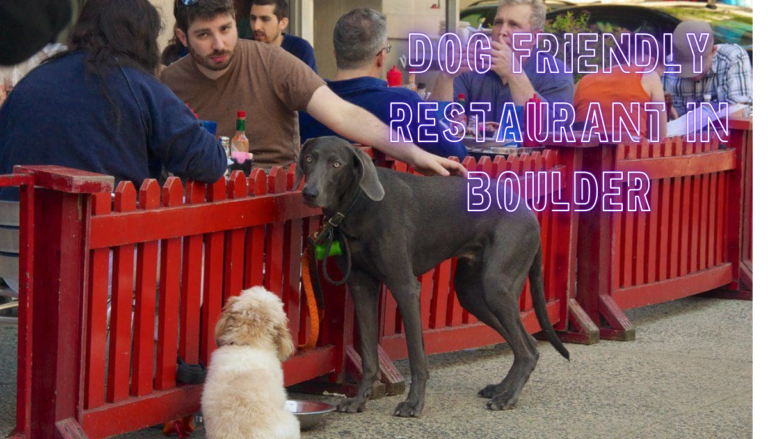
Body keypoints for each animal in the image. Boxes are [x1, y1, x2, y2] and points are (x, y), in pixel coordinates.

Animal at [296, 136, 568, 418]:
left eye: (336, 164)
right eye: (309, 159)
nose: (310, 193)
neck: (360, 204)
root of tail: (529, 213)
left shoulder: (405, 288)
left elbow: (417, 357)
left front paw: (413, 403)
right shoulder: (361, 287)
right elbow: (369, 357)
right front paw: (359, 400)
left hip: (496, 288)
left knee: (528, 351)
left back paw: (508, 398)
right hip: (472, 295)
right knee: (527, 344)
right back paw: (501, 389)